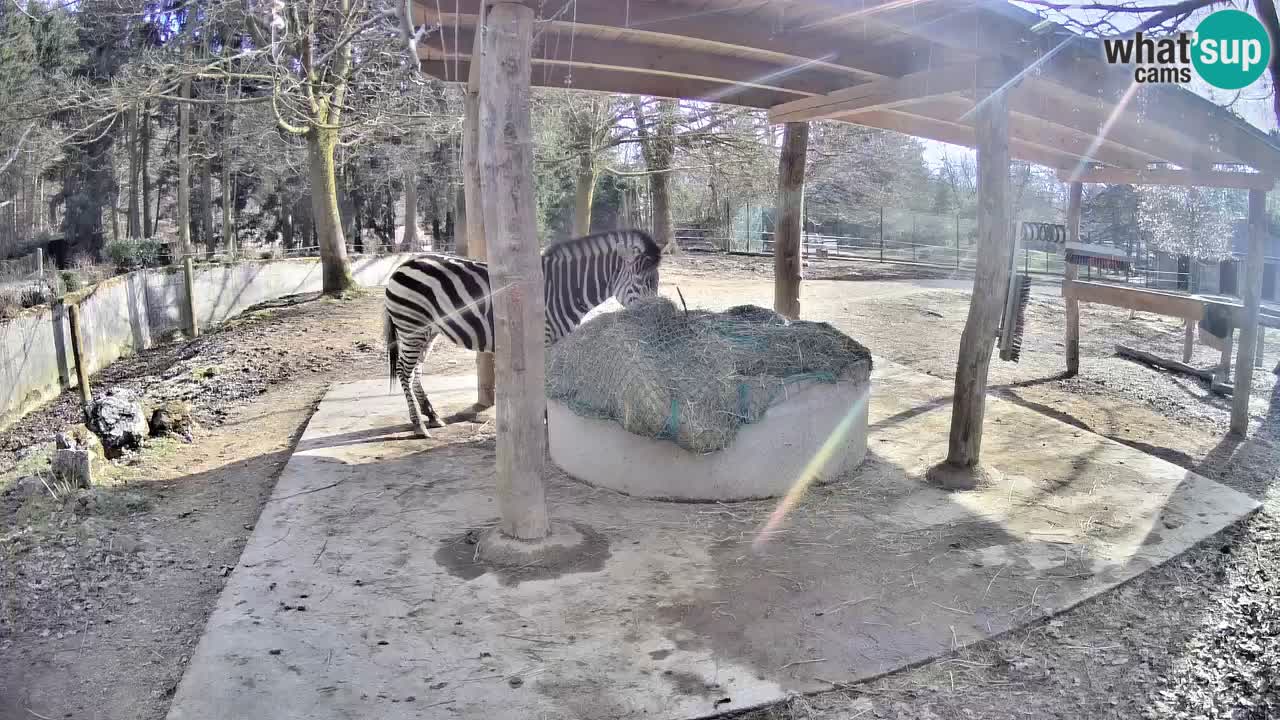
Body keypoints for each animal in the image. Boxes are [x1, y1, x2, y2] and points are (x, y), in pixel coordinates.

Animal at [378, 226, 660, 435]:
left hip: (428, 331)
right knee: (404, 371)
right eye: (643, 281)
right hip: (411, 326)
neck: (565, 288)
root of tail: (404, 264)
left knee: (415, 371)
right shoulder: (544, 338)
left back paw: (432, 415)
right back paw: (419, 425)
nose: (654, 317)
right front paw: (544, 418)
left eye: (655, 282)